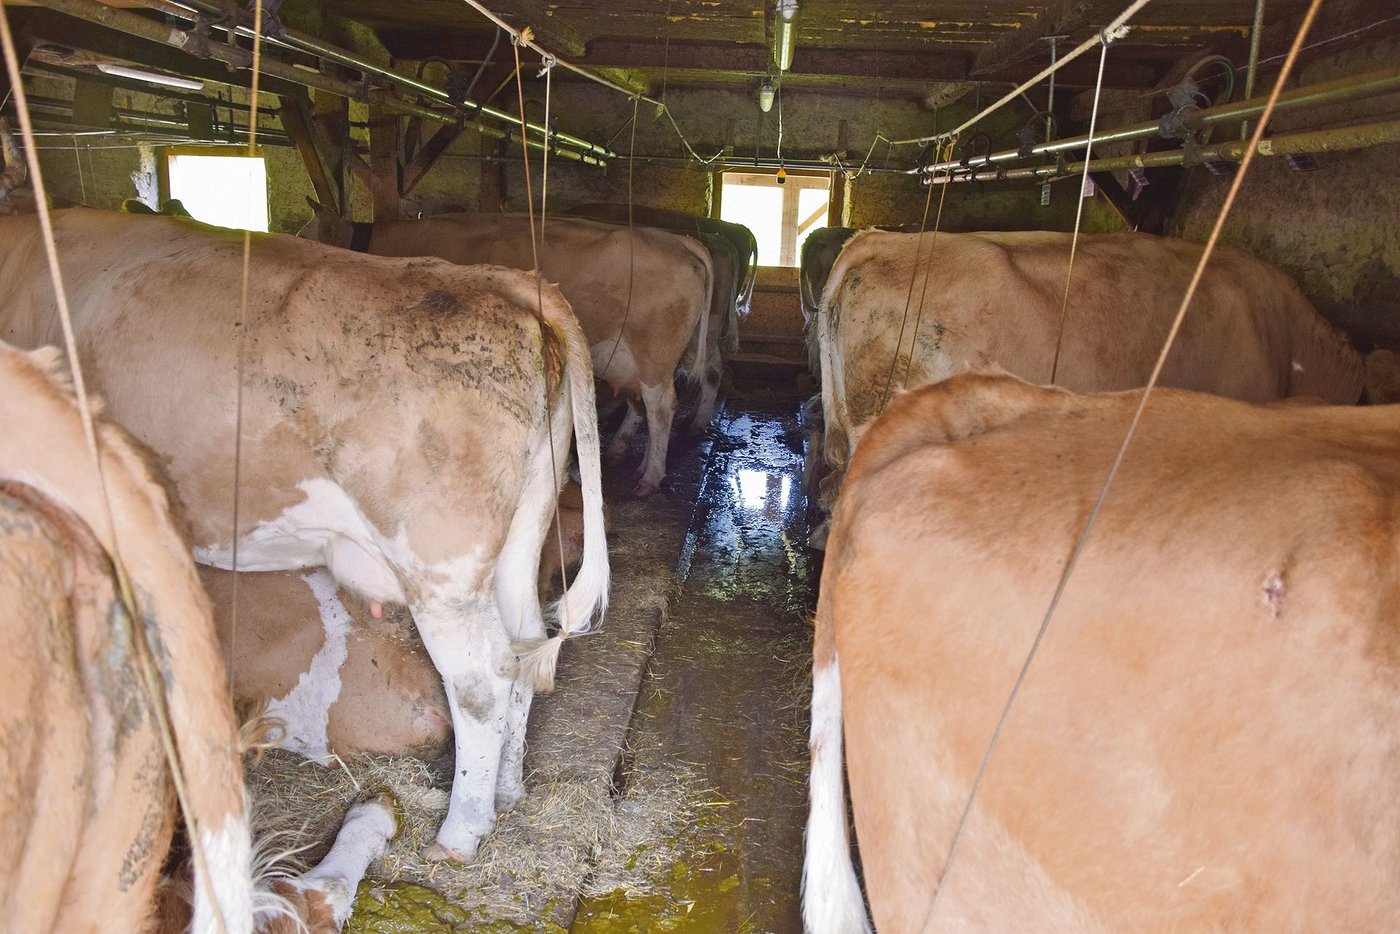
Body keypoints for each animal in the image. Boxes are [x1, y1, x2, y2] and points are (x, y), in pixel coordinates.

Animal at [0, 208, 610, 865]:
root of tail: (500, 280)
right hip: (519, 534)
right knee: (526, 646)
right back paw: (508, 789)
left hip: (439, 565)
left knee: (482, 680)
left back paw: (461, 830)